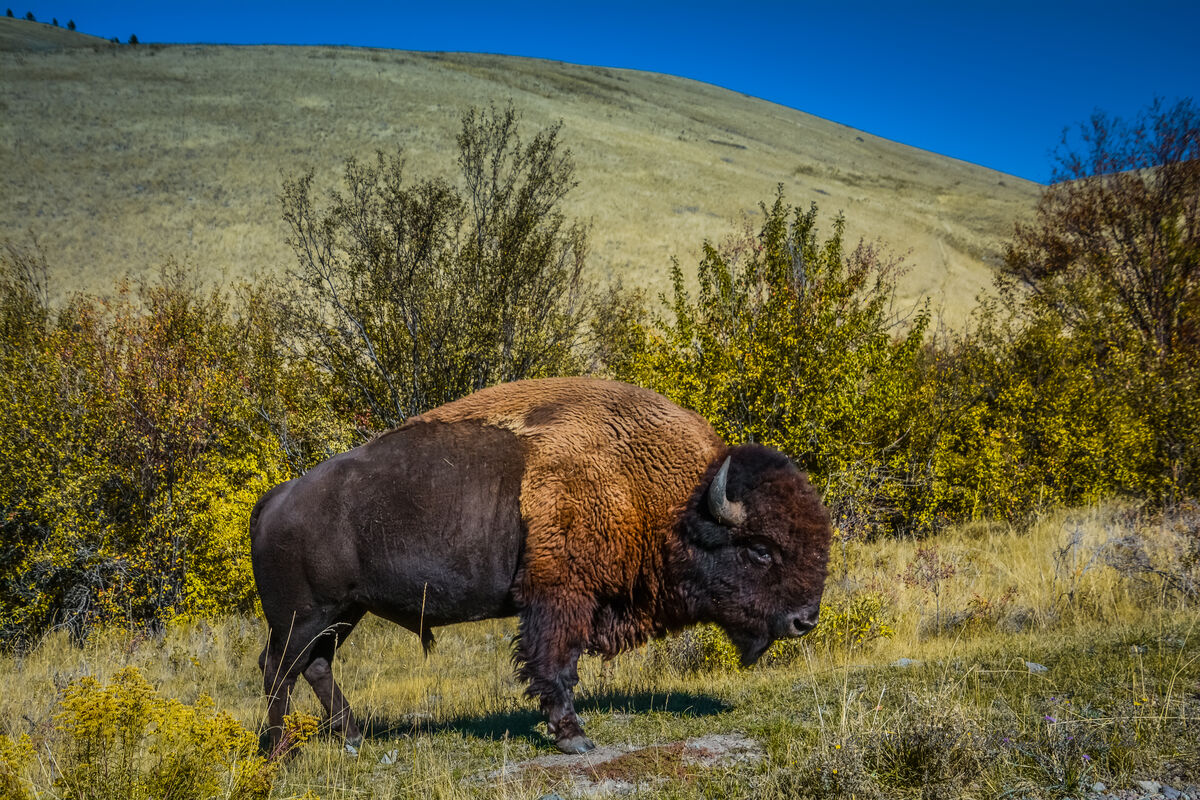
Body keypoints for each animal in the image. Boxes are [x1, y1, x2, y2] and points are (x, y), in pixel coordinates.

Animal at [250, 378, 831, 754]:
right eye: (760, 549)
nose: (805, 620)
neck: (670, 502)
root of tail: (276, 498)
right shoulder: (559, 598)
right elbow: (556, 665)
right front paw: (574, 737)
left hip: (344, 612)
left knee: (314, 666)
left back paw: (352, 739)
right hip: (304, 615)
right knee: (279, 668)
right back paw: (281, 752)